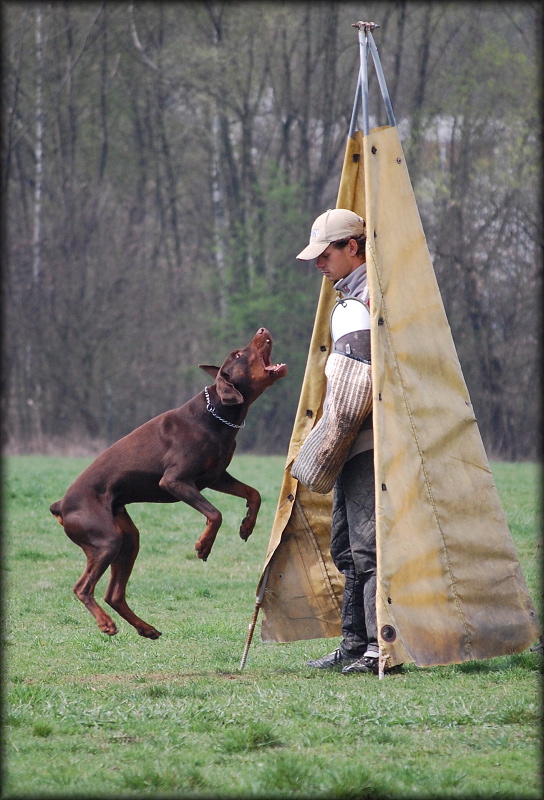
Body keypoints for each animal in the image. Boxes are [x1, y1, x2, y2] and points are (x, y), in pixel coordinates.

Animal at [50, 328, 286, 640]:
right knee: (82, 587)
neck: (216, 414)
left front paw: (247, 526)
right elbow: (215, 513)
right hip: (105, 539)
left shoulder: (215, 477)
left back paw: (146, 628)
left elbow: (254, 494)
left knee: (114, 594)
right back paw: (106, 624)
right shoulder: (175, 481)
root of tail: (61, 506)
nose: (262, 330)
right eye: (237, 354)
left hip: (128, 538)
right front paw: (203, 545)